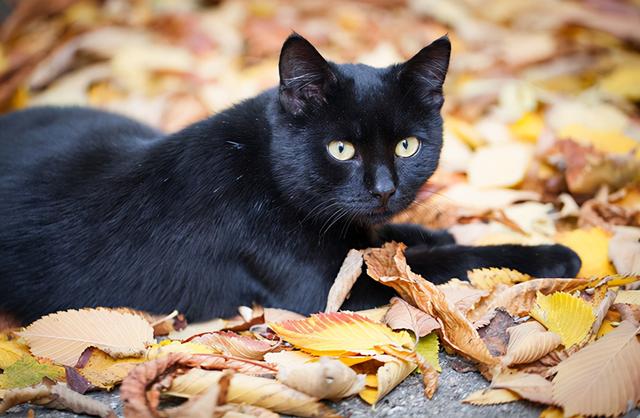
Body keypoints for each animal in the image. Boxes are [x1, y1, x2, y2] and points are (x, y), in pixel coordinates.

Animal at [0, 35, 580, 324]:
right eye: (340, 149)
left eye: (407, 146)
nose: (384, 188)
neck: (263, 171)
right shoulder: (328, 289)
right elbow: (443, 262)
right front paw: (548, 255)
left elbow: (387, 239)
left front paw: (425, 230)